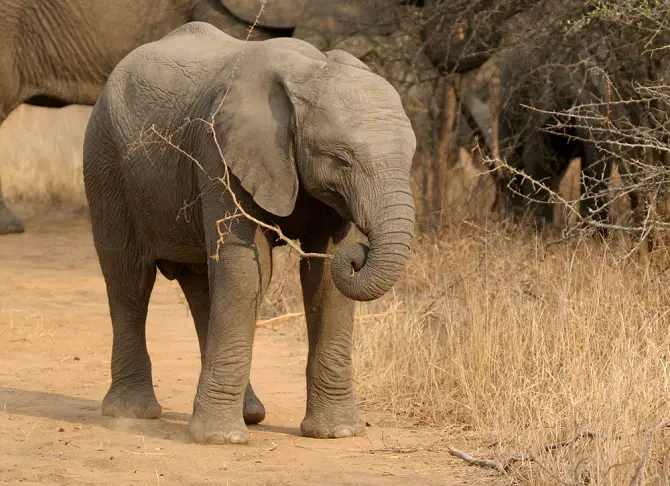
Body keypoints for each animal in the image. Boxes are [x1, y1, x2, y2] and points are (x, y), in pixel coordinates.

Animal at [83, 21, 418, 444]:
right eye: (342, 159)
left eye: (411, 156)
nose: (360, 253)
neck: (308, 72)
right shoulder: (220, 153)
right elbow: (246, 271)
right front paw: (220, 440)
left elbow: (325, 281)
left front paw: (338, 432)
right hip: (104, 160)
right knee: (129, 279)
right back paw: (132, 413)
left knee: (202, 284)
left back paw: (250, 413)